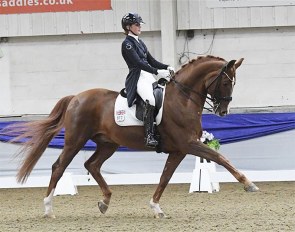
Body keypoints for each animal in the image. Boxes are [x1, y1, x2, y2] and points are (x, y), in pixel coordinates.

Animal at [6, 55, 260, 218]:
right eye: (226, 82)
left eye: (233, 82)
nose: (223, 111)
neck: (183, 99)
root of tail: (76, 97)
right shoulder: (188, 144)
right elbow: (220, 158)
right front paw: (249, 184)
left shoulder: (179, 149)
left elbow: (165, 177)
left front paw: (156, 207)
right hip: (75, 140)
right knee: (59, 167)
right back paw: (48, 208)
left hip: (108, 144)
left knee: (92, 165)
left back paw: (105, 201)